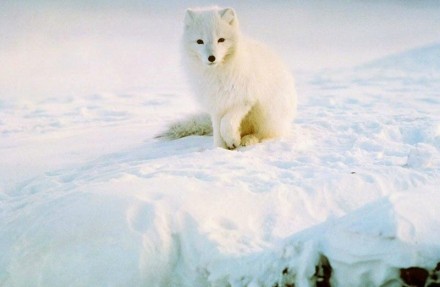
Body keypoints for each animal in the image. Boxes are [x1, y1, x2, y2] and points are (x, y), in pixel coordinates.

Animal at [161, 6, 296, 150]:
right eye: (200, 41)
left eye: (221, 40)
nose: (211, 58)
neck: (218, 74)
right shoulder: (216, 104)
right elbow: (217, 128)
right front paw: (220, 148)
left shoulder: (245, 99)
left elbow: (226, 123)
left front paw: (232, 140)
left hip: (268, 115)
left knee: (263, 134)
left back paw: (249, 139)